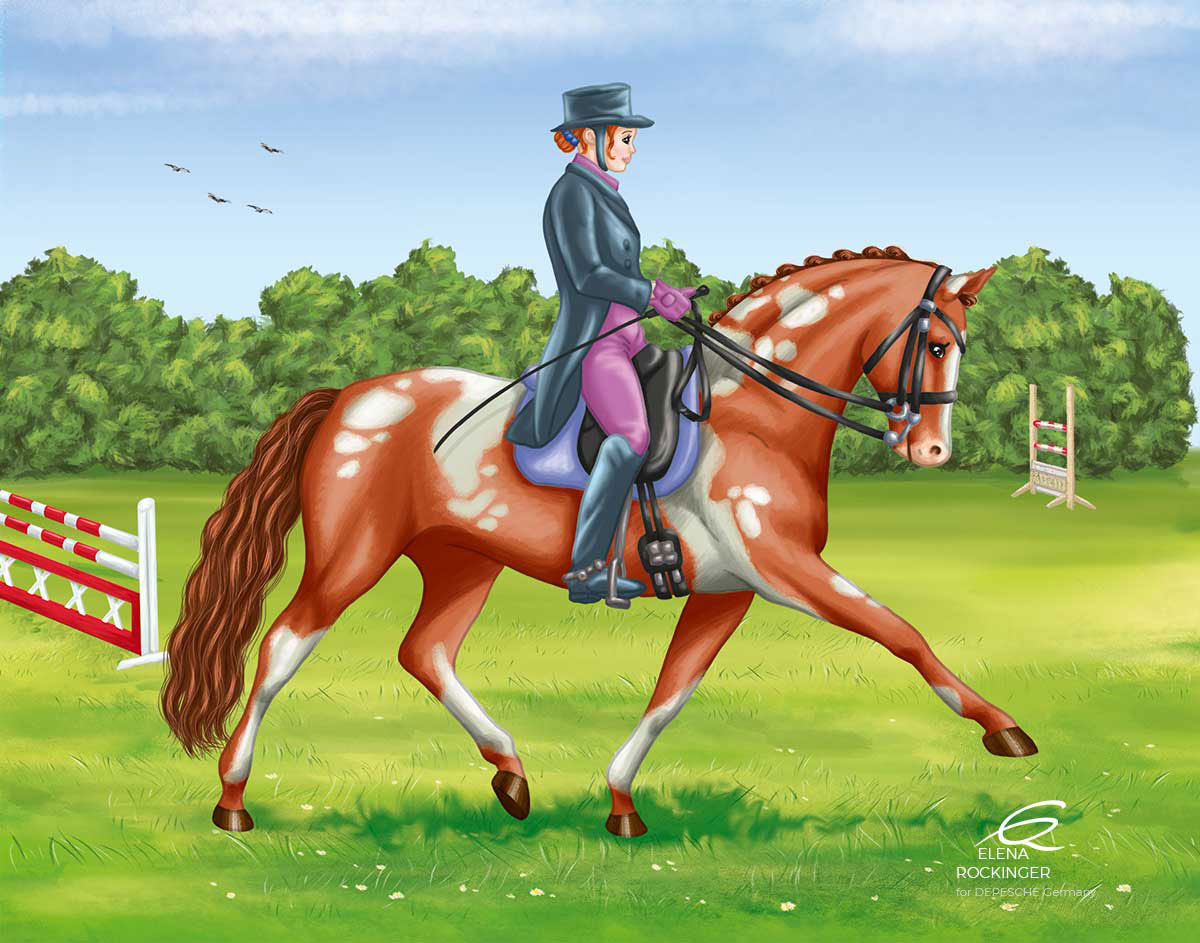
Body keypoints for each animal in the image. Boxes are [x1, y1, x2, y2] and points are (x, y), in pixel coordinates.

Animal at [160, 246, 1036, 838]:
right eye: (934, 344)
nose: (930, 450)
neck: (752, 412)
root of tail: (348, 396)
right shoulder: (786, 570)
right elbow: (900, 631)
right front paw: (1002, 728)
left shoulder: (728, 591)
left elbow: (672, 691)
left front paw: (620, 801)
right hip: (353, 556)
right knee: (284, 644)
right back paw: (232, 798)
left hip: (464, 559)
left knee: (426, 650)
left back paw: (512, 774)